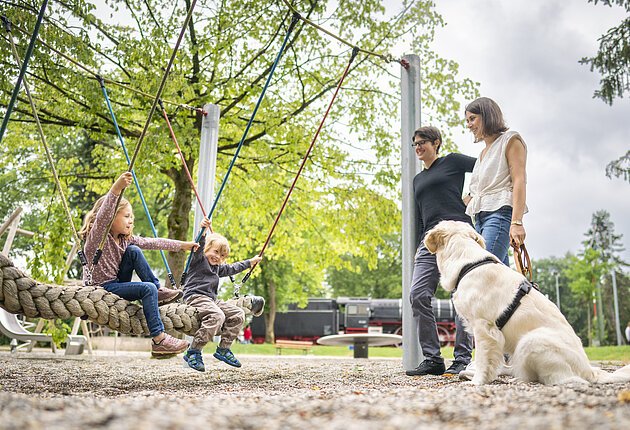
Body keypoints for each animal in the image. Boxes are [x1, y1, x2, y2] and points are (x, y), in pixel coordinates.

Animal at [424, 220, 630, 384]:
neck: (468, 263)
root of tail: (588, 369)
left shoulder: (484, 328)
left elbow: (483, 360)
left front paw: (477, 382)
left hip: (531, 340)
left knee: (562, 379)